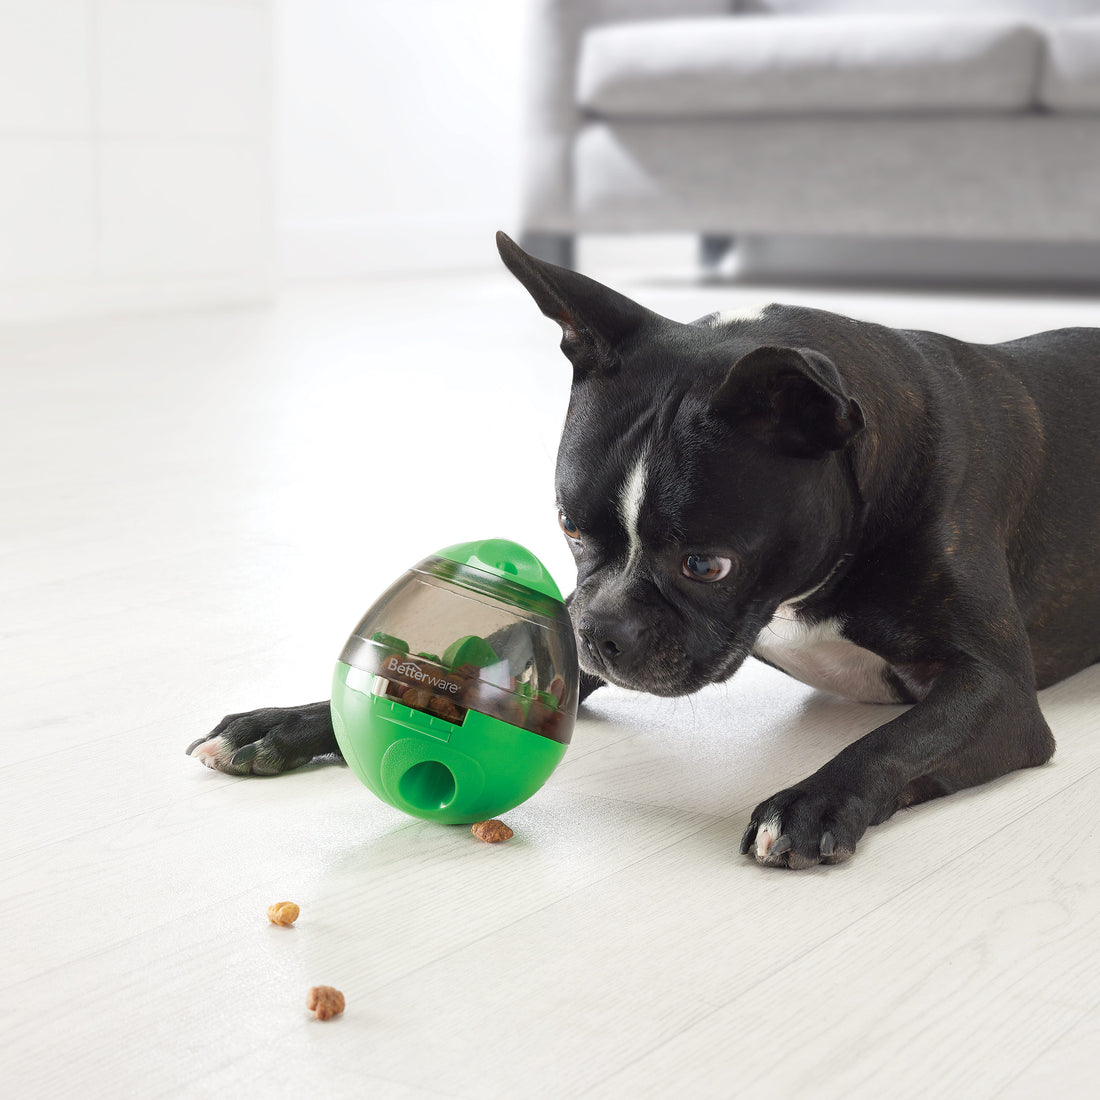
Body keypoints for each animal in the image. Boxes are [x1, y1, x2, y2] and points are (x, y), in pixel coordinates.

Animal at [189, 232, 1100, 866]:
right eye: (568, 529)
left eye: (707, 564)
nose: (600, 631)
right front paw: (291, 720)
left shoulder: (994, 690)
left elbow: (894, 742)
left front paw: (810, 803)